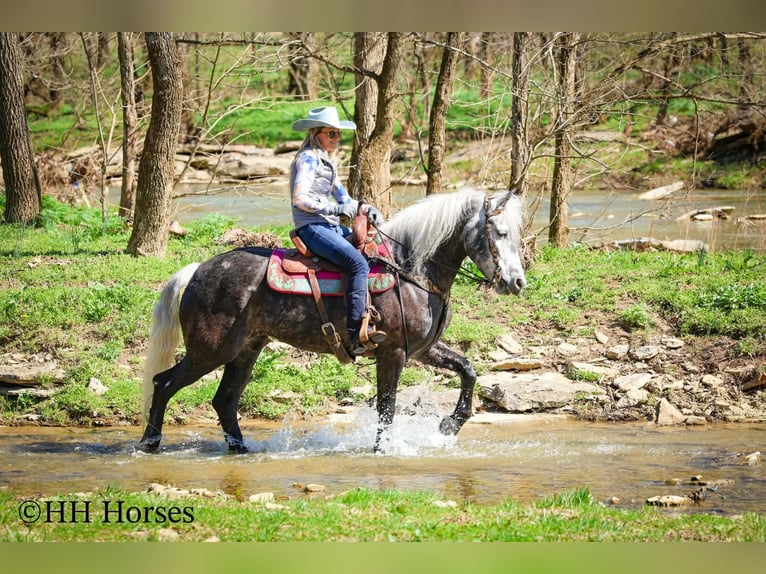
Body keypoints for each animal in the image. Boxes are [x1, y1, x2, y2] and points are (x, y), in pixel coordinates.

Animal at [139, 187, 527, 452]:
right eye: (500, 233)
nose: (517, 282)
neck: (411, 270)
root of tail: (197, 271)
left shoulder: (422, 350)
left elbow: (468, 369)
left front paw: (450, 425)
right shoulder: (394, 353)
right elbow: (387, 406)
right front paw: (383, 449)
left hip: (246, 350)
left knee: (225, 400)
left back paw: (240, 449)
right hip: (210, 352)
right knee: (164, 383)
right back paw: (150, 442)